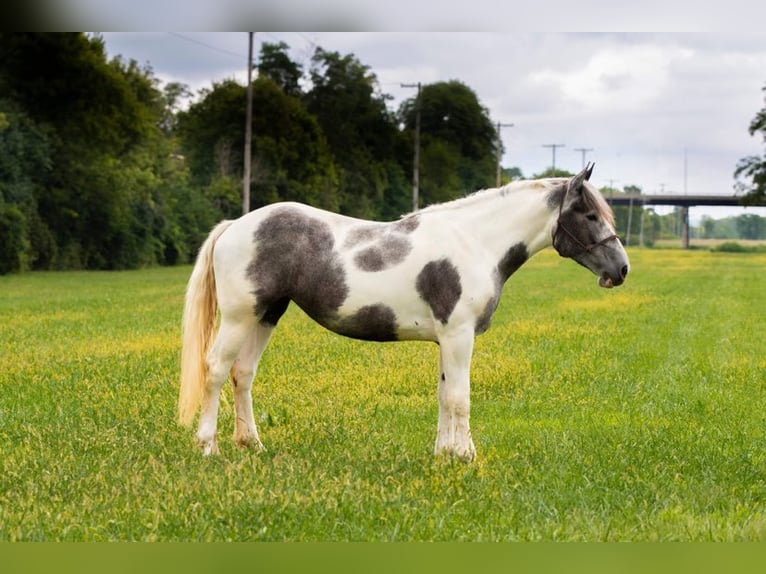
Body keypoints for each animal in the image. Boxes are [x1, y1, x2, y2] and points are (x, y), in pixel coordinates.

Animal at [178, 163, 632, 464]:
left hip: (266, 314)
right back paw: (207, 446)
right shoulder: (458, 336)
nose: (622, 269)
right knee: (215, 369)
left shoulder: (446, 339)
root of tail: (236, 224)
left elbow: (444, 395)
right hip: (240, 317)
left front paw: (444, 453)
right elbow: (460, 397)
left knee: (243, 374)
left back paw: (251, 444)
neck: (475, 242)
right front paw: (465, 456)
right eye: (590, 215)